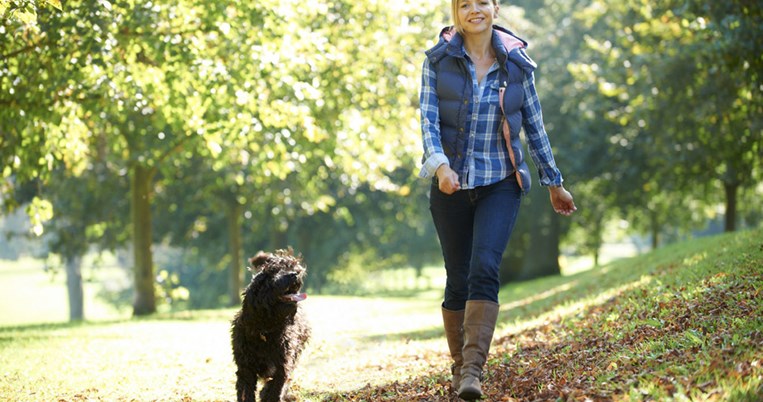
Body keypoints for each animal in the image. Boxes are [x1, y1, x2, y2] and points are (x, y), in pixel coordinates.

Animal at [230, 250, 310, 400]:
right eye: (271, 275)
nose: (294, 274)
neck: (266, 330)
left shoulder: (282, 365)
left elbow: (276, 387)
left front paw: (268, 394)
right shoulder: (246, 368)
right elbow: (246, 392)